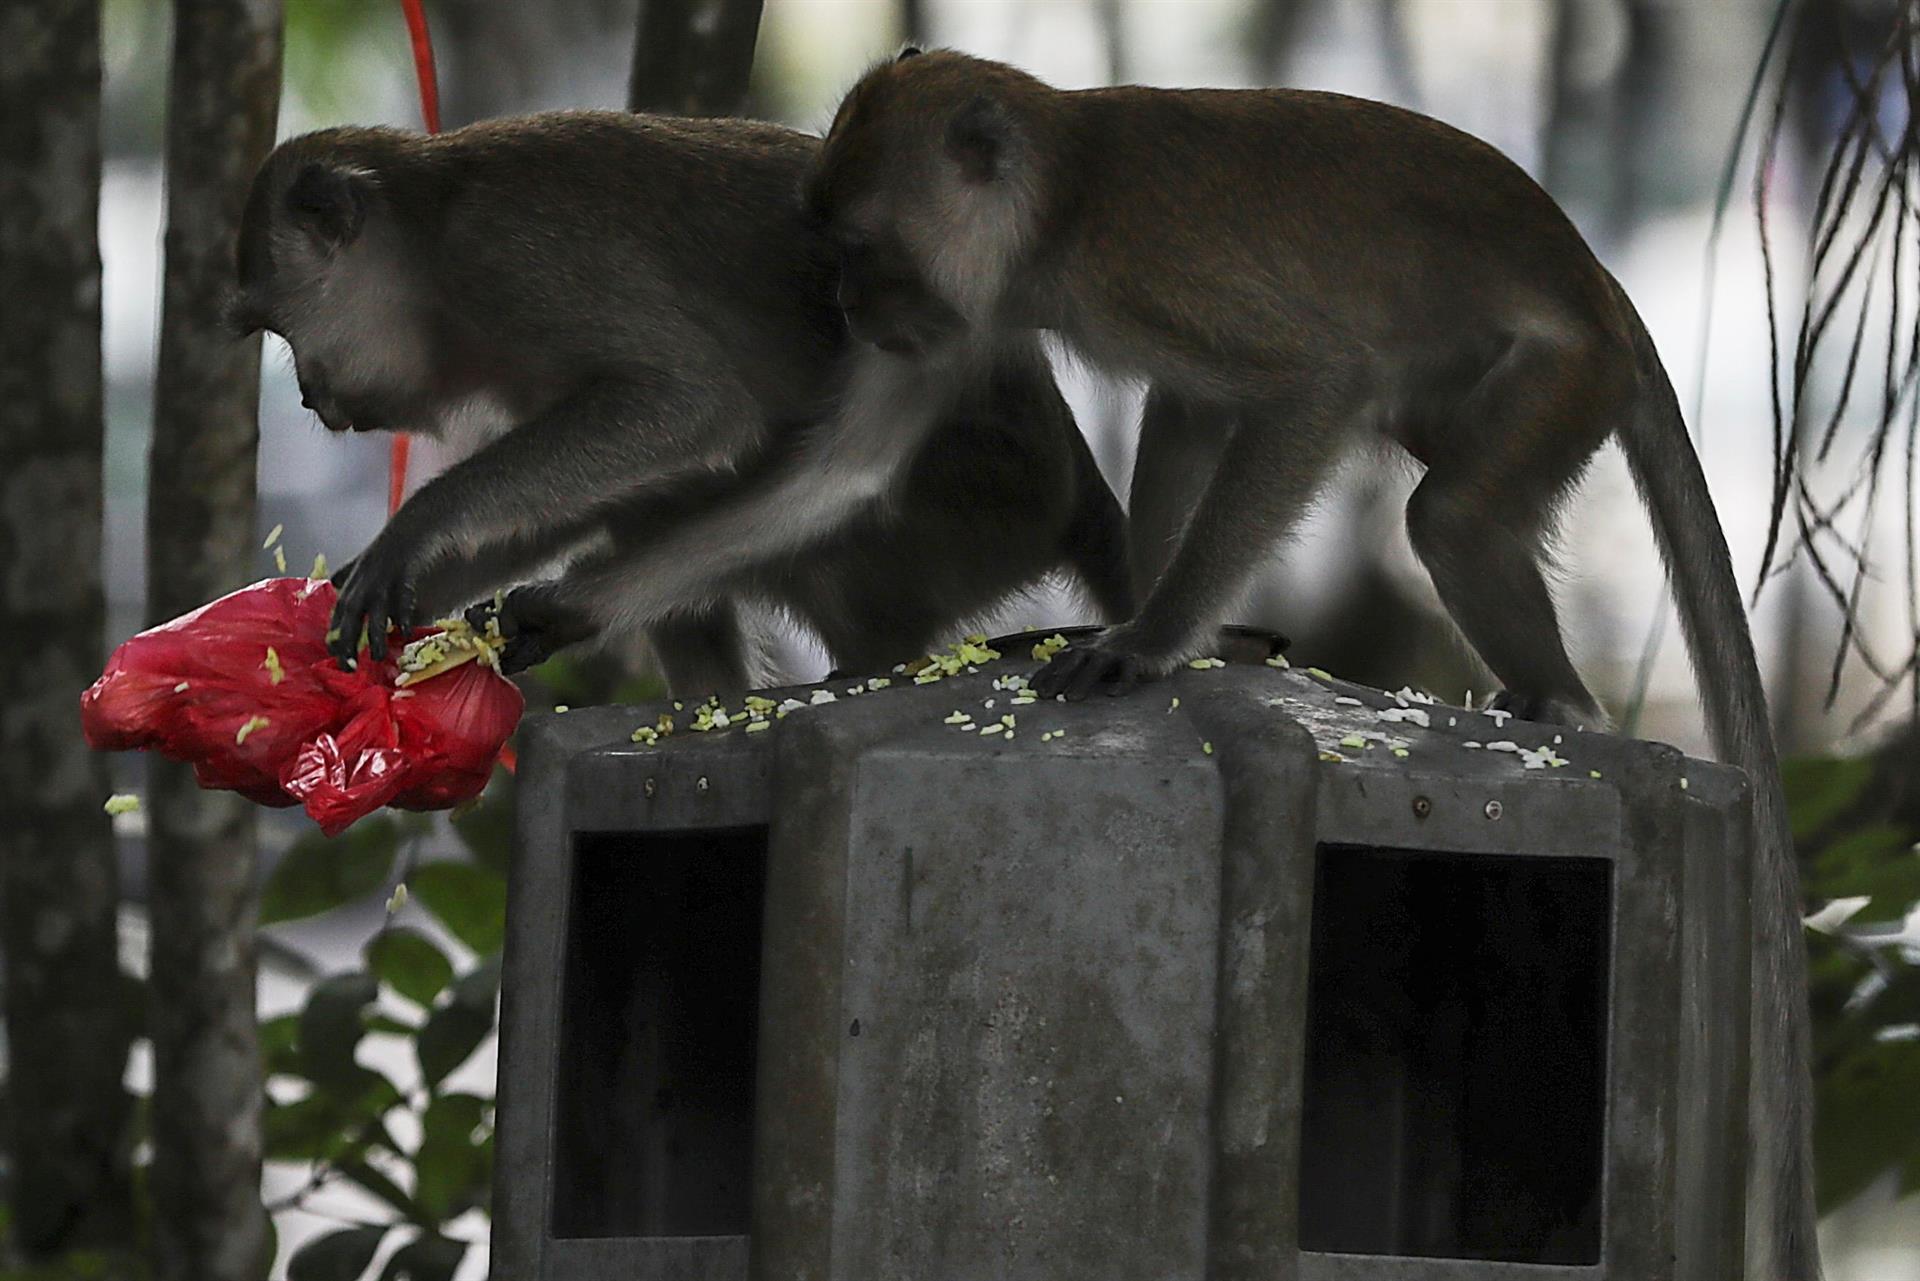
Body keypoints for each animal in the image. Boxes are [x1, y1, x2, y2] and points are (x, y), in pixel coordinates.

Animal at [228, 117, 1121, 702]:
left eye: (283, 327)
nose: (306, 391)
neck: (431, 239)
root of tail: (1073, 475)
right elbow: (578, 495)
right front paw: (384, 586)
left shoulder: (511, 260)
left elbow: (688, 407)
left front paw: (414, 530)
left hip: (970, 515)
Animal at [779, 50, 1797, 1281]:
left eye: (862, 250)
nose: (847, 309)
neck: (1060, 197)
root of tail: (1597, 279)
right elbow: (1184, 408)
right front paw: (1167, 625)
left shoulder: (1138, 264)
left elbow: (1309, 383)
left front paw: (1150, 640)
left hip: (1565, 374)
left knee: (1453, 514)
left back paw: (1557, 697)